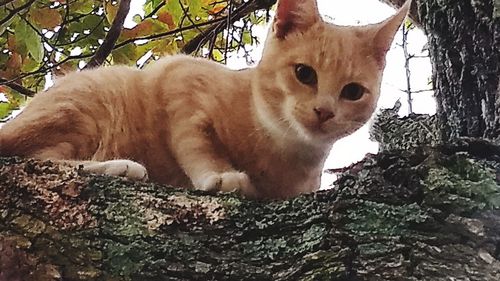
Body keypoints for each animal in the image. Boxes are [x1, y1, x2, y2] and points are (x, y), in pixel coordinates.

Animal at [0, 0, 410, 198]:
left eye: (352, 92)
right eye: (304, 74)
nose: (324, 111)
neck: (282, 148)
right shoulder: (178, 76)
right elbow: (195, 140)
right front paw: (219, 173)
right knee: (34, 158)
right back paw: (119, 167)